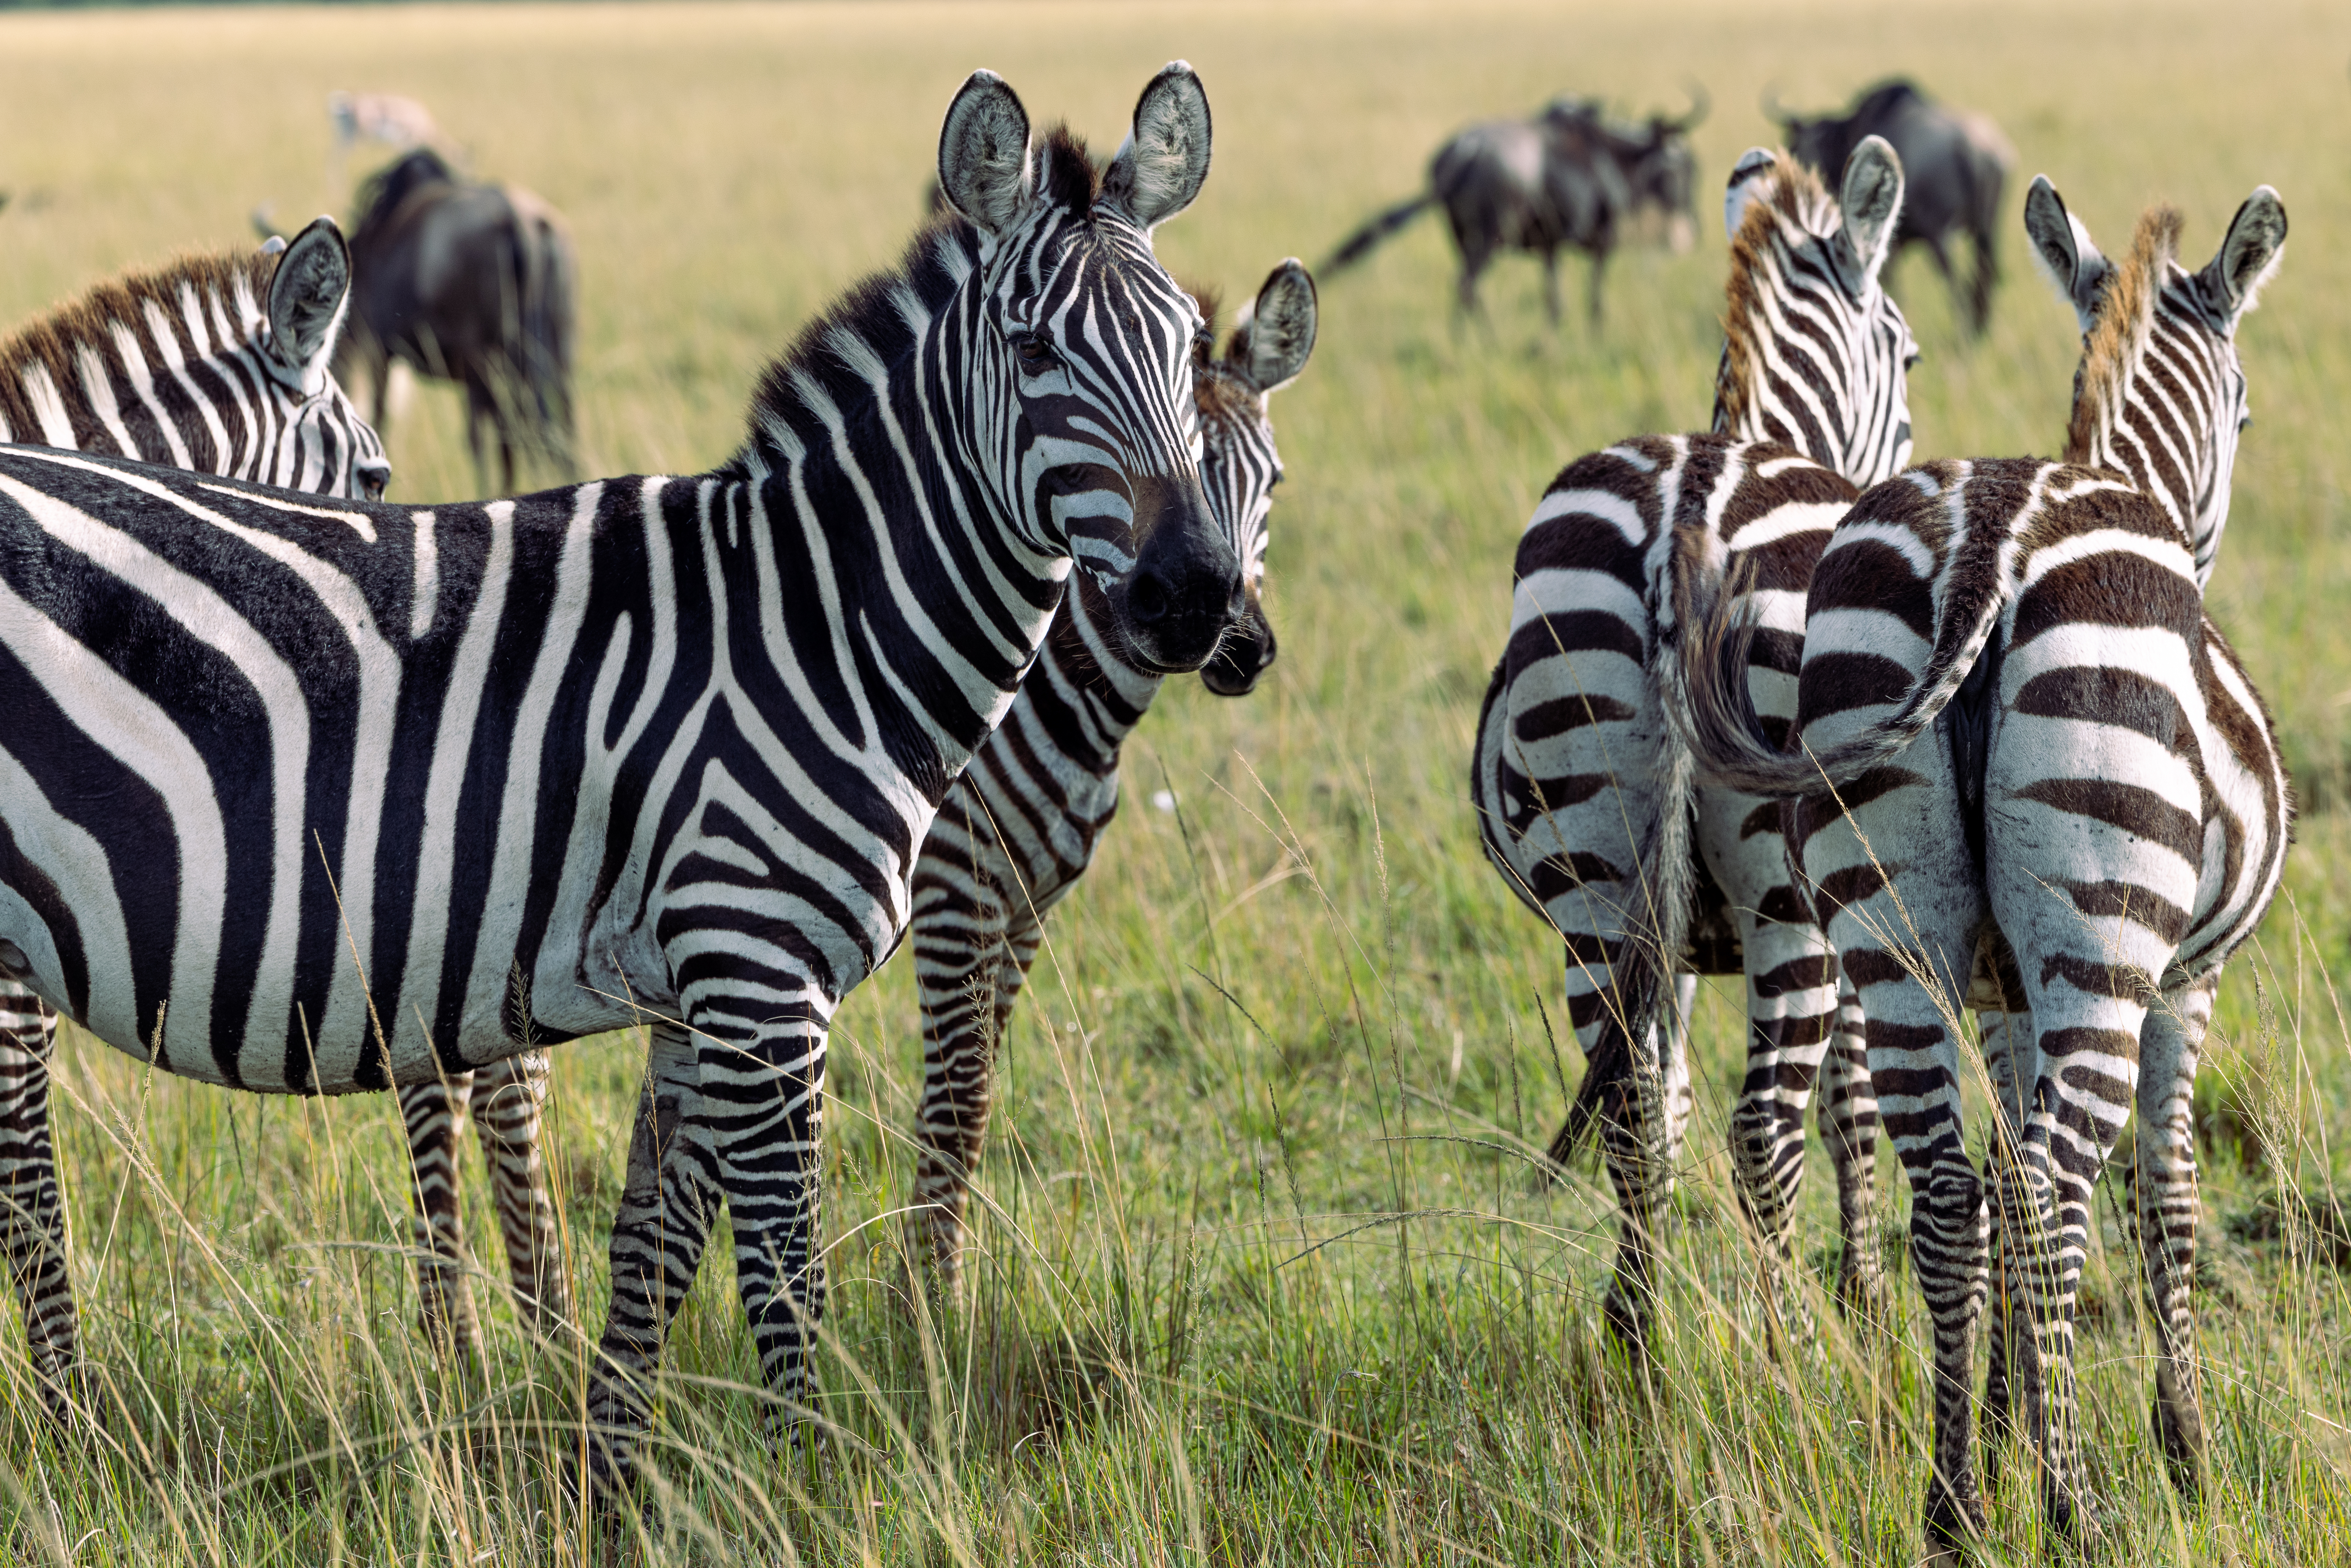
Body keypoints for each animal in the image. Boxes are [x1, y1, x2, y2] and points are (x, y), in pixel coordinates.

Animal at [906, 259, 1317, 1287]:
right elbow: (954, 1105)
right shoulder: (953, 887)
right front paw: (921, 1306)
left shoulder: (1027, 903)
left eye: (1272, 481)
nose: (1239, 646)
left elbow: (971, 1102)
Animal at [1468, 134, 1916, 1355]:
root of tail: (1686, 514)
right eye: (1908, 350)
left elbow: (1662, 1109)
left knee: (1632, 1112)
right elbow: (1851, 1099)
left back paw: (1634, 1344)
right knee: (1761, 1129)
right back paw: (1792, 1344)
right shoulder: (1853, 912)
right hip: (1784, 901)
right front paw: (1864, 1294)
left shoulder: (1664, 935)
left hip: (1592, 873)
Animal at [1674, 178, 2288, 1548]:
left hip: (1888, 925)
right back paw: (2072, 1508)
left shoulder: (2003, 988)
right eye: (2243, 411)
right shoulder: (2186, 980)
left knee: (1954, 1191)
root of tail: (1994, 537)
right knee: (2061, 1190)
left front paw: (2007, 1420)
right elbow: (2162, 1196)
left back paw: (1955, 1500)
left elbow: (2001, 1176)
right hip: (2101, 935)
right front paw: (2183, 1447)